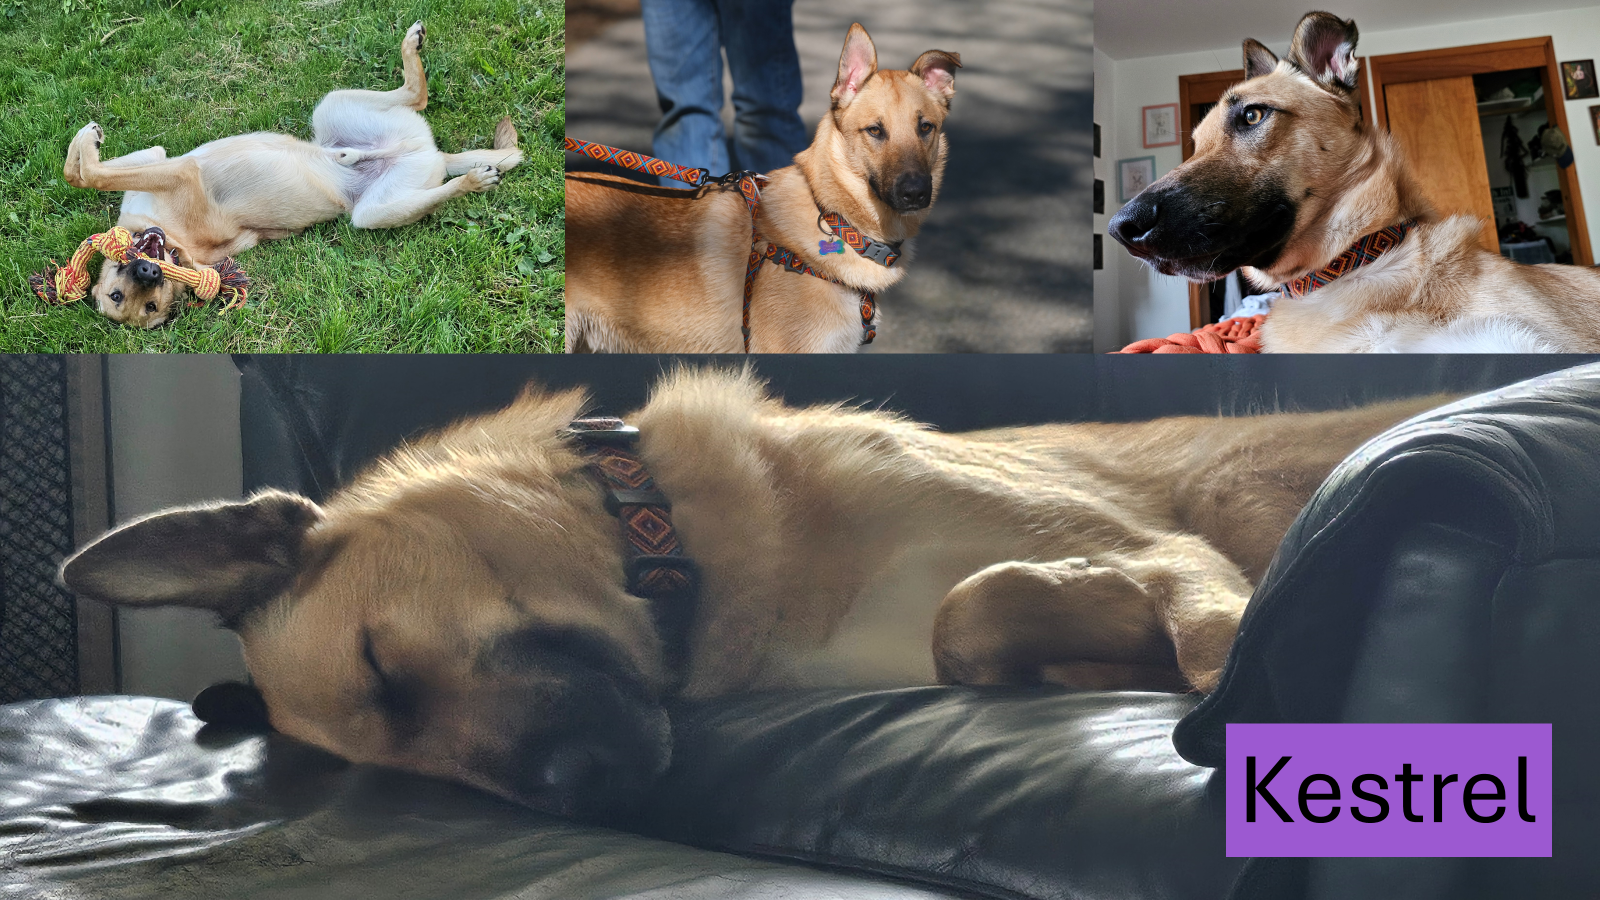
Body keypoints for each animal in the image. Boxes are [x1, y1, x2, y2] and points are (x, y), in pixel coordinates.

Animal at [59, 21, 521, 325]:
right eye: (135, 302)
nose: (149, 272)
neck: (169, 237)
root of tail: (431, 152)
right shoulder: (171, 174)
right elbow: (89, 175)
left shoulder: (168, 164)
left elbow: (84, 174)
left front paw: (86, 141)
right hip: (374, 210)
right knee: (424, 132)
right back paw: (473, 179)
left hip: (332, 105)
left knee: (416, 94)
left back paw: (413, 50)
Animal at [59, 368, 1452, 816]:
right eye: (394, 765)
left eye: (378, 667)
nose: (584, 794)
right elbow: (967, 627)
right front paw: (1090, 660)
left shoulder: (1165, 544)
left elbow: (989, 603)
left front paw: (1210, 680)